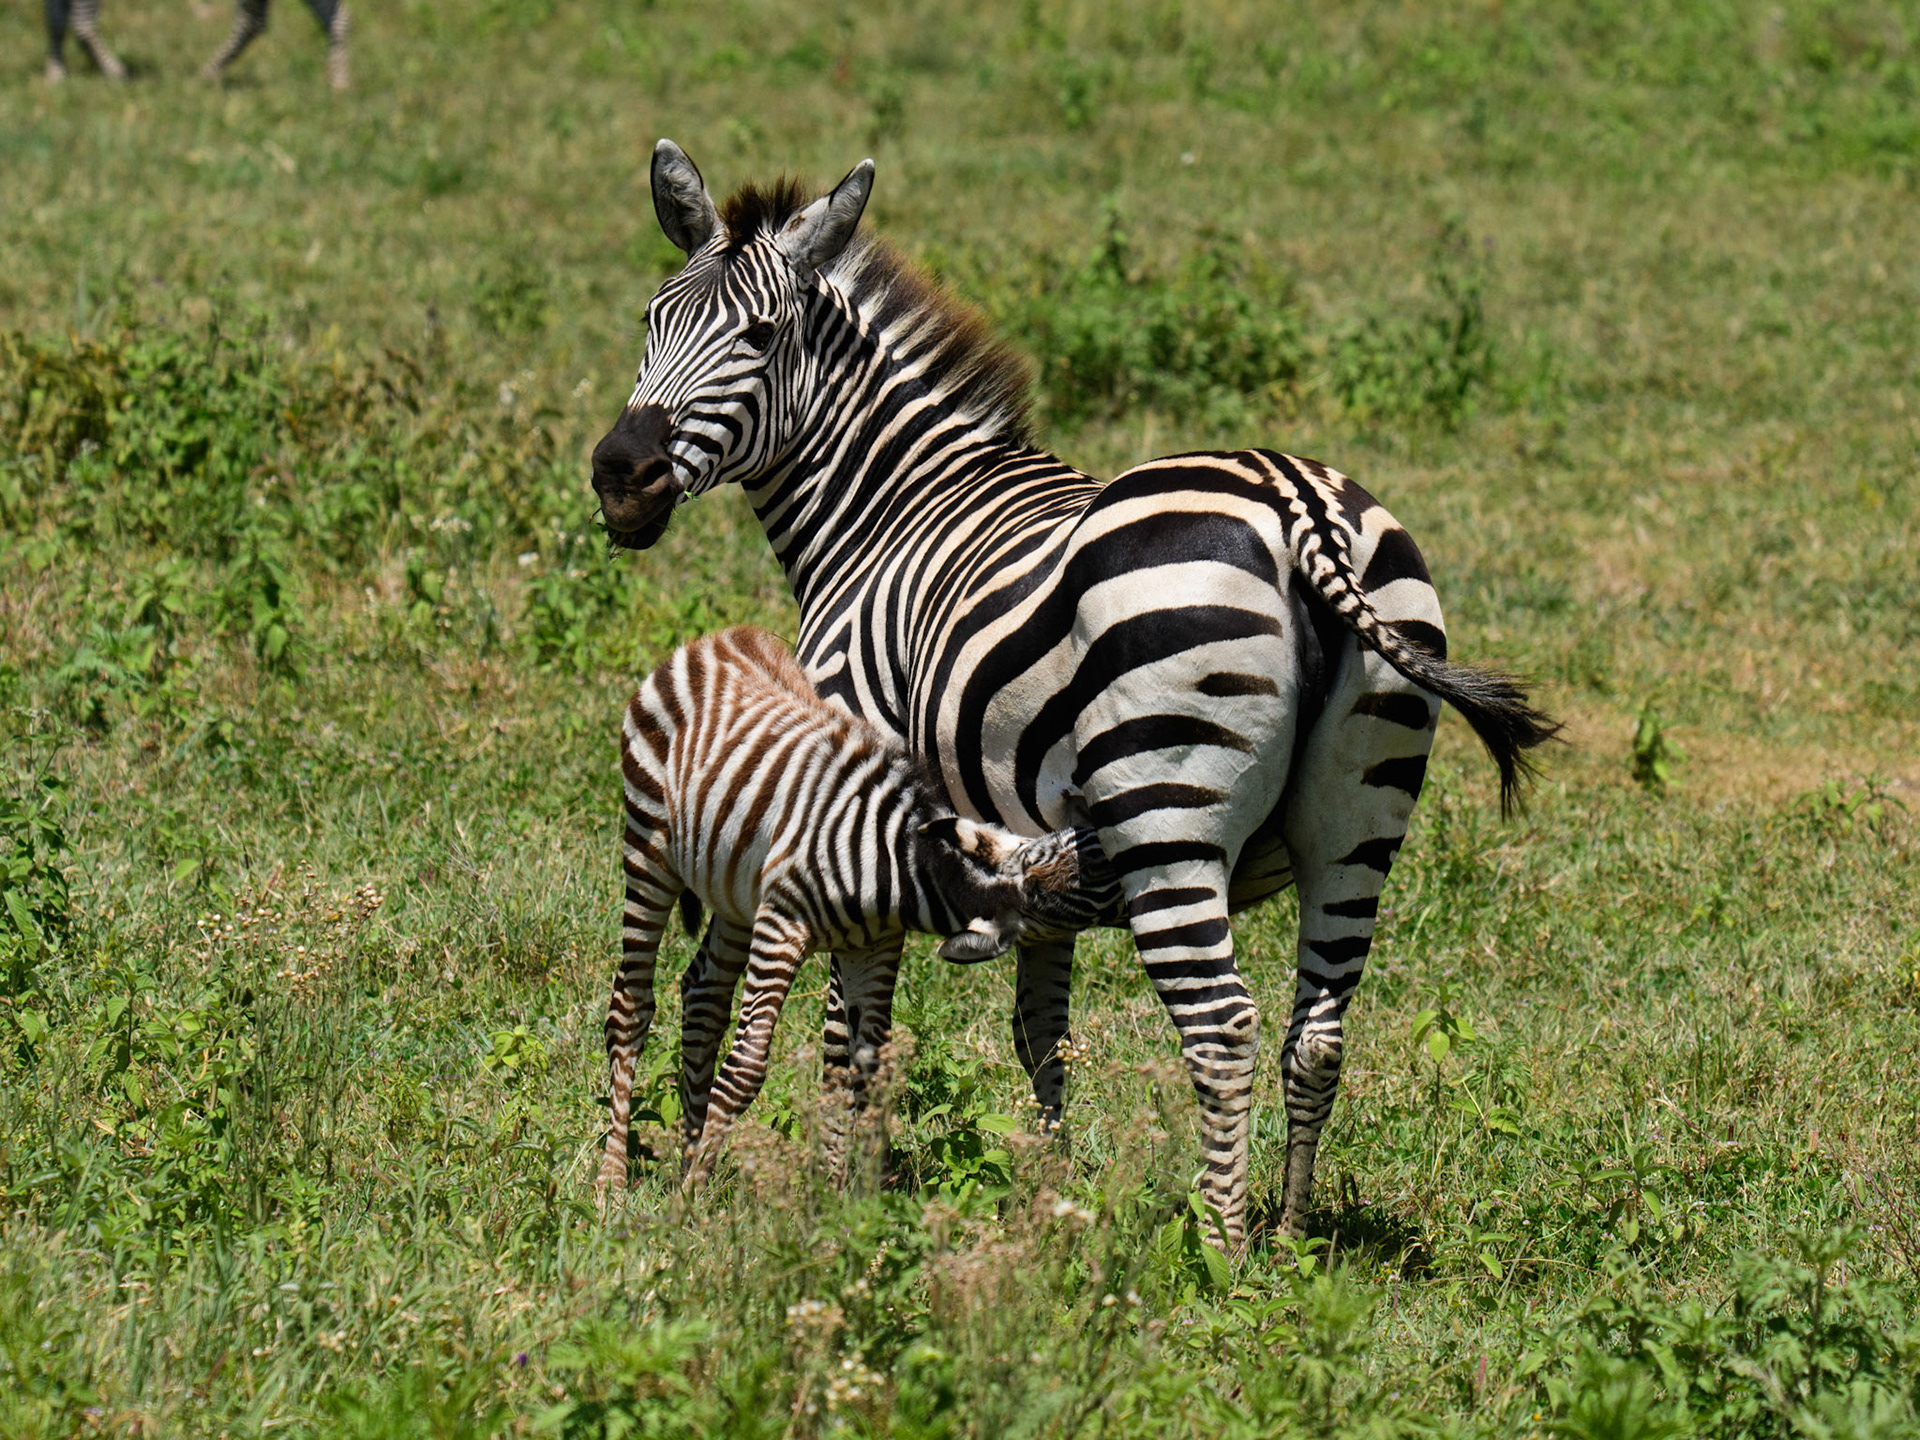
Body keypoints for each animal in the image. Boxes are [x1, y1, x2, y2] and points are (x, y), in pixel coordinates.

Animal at [599, 624, 1117, 1194]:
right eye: (1090, 880)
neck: (898, 869)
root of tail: (717, 638)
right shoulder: (781, 925)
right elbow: (747, 1067)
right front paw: (690, 1203)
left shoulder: (872, 947)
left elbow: (870, 1067)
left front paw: (863, 1199)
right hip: (648, 844)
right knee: (631, 1005)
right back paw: (611, 1186)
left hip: (733, 885)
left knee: (703, 993)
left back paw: (689, 1152)